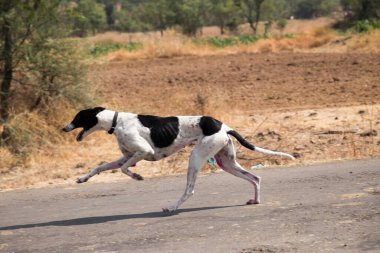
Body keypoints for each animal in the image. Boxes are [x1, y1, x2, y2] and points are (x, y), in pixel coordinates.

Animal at [62, 106, 296, 213]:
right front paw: (82, 178)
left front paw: (137, 176)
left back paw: (173, 207)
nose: (64, 128)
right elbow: (100, 167)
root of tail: (224, 126)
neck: (116, 121)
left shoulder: (143, 152)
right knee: (255, 178)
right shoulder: (127, 157)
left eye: (77, 117)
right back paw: (256, 200)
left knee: (189, 190)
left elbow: (125, 169)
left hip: (196, 159)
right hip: (227, 163)